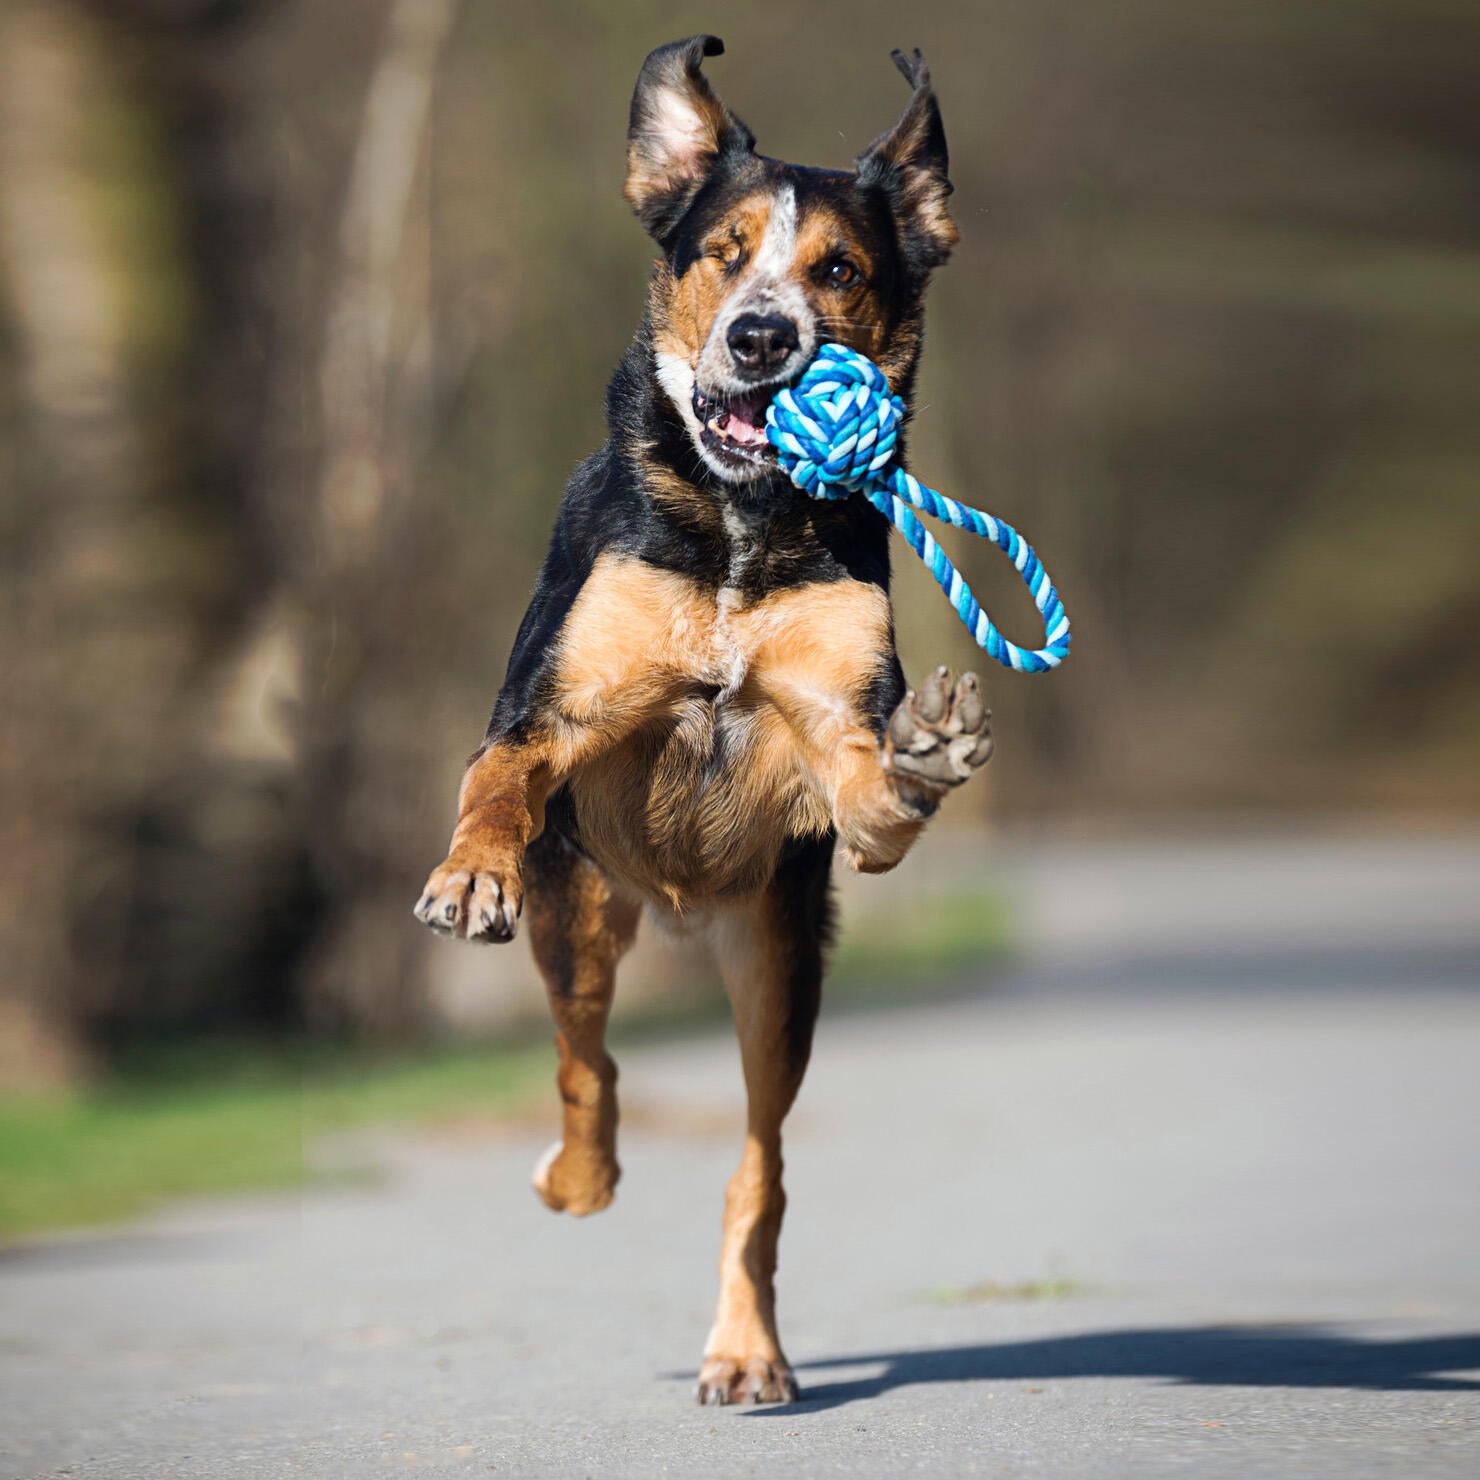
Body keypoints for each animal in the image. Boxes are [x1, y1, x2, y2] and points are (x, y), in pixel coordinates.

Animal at [417, 31, 988, 1397]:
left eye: (837, 267)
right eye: (723, 251)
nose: (762, 337)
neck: (739, 526)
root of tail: (674, 909)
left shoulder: (834, 742)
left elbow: (874, 795)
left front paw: (928, 752)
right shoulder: (549, 708)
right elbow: (499, 774)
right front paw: (468, 874)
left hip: (777, 963)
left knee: (759, 1167)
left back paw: (745, 1350)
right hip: (576, 916)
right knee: (586, 1066)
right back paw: (574, 1177)